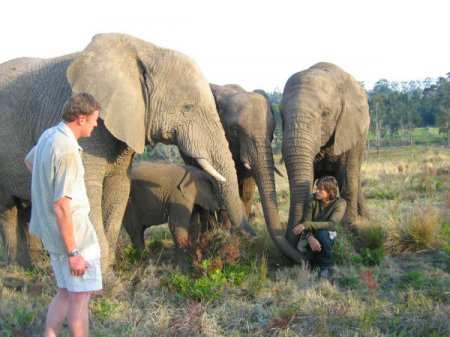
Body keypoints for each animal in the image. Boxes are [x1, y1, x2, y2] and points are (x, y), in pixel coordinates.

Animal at [0, 32, 250, 270]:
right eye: (188, 108)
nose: (235, 242)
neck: (145, 50)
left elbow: (118, 187)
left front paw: (109, 269)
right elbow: (87, 189)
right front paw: (103, 279)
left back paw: (29, 266)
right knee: (8, 209)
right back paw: (18, 267)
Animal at [282, 61, 370, 262]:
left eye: (325, 113)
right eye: (281, 115)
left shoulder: (349, 128)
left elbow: (348, 176)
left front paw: (350, 232)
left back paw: (365, 220)